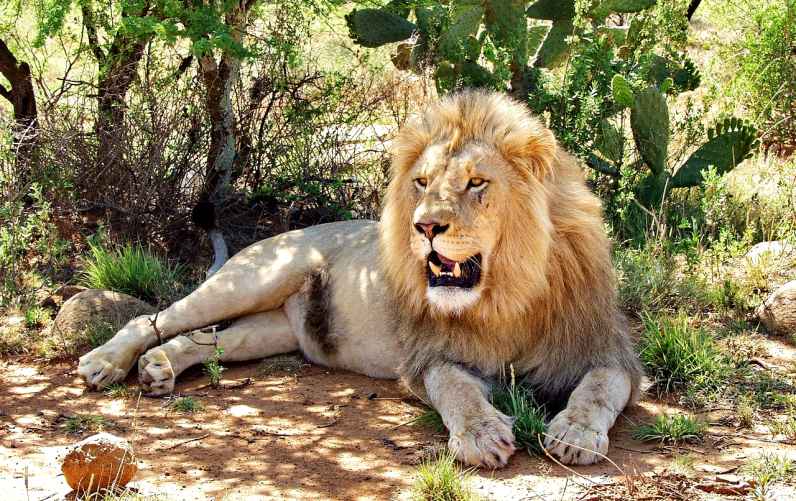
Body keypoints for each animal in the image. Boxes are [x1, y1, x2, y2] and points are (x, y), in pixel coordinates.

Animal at [78, 90, 641, 468]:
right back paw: (105, 362)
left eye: (477, 183)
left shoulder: (607, 349)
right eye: (422, 183)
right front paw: (482, 435)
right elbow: (456, 388)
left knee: (206, 340)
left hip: (274, 330)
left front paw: (575, 431)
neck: (507, 295)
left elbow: (601, 386)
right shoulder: (429, 355)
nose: (424, 226)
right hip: (256, 277)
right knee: (156, 318)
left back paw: (159, 367)